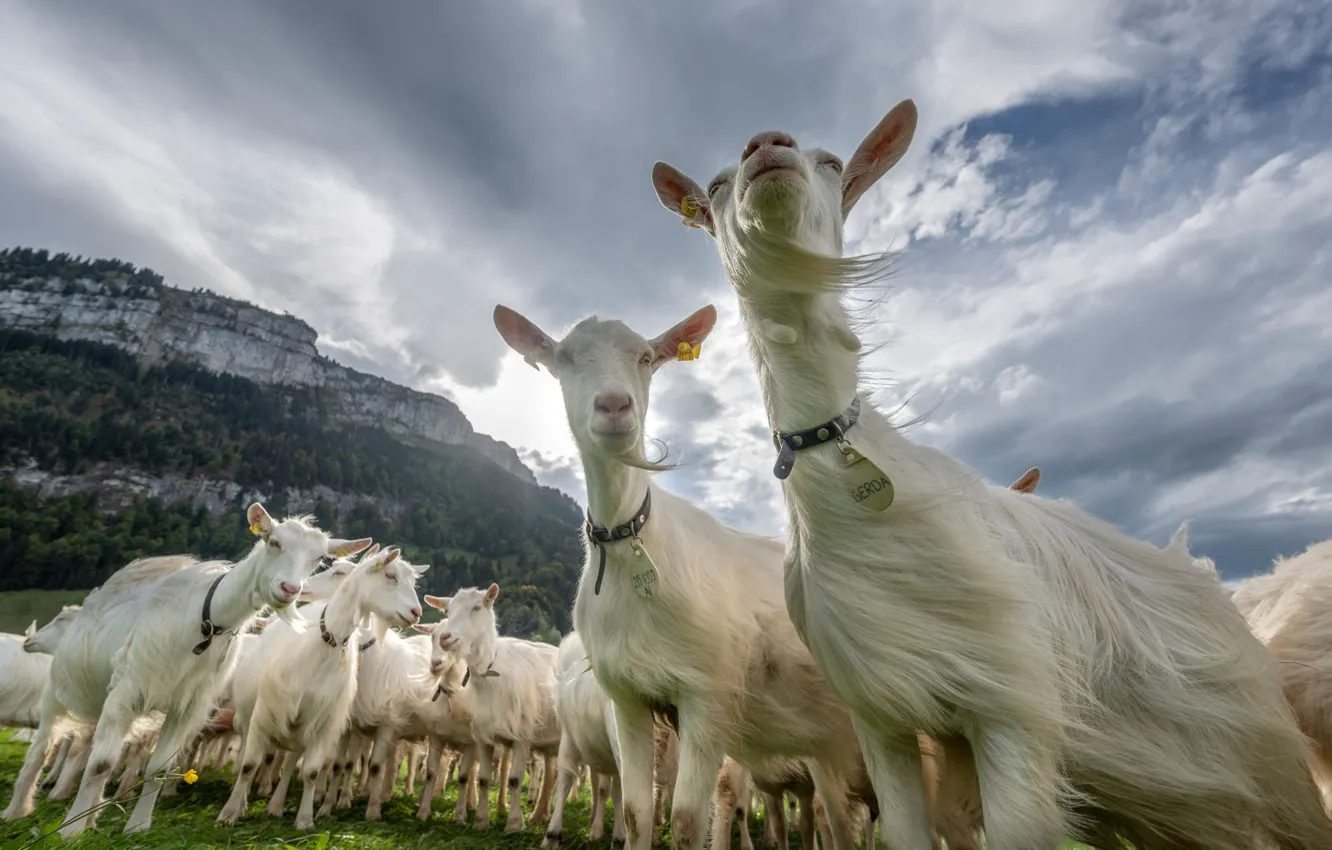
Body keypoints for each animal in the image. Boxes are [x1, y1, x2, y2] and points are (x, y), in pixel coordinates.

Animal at [218, 545, 423, 829]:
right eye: (391, 576)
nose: (416, 613)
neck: (326, 643)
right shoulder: (266, 713)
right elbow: (250, 764)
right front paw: (228, 813)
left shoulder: (327, 721)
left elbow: (316, 771)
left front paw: (307, 818)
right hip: (253, 716)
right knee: (249, 760)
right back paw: (250, 801)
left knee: (292, 759)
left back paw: (276, 805)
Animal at [426, 584, 560, 832]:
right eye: (448, 609)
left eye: (477, 607)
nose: (445, 637)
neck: (492, 672)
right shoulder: (482, 737)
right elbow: (484, 779)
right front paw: (481, 821)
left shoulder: (522, 736)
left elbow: (515, 779)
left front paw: (514, 824)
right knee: (552, 772)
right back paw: (539, 815)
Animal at [650, 99, 1332, 850]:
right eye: (715, 189)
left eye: (831, 163)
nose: (767, 147)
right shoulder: (883, 717)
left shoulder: (1010, 706)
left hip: (1266, 777)